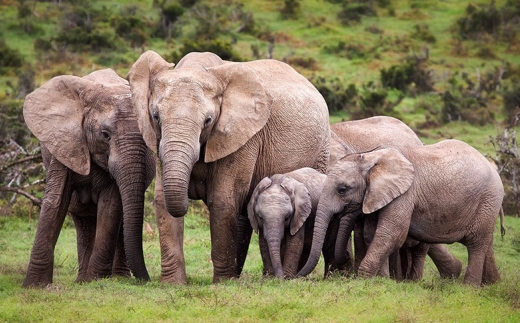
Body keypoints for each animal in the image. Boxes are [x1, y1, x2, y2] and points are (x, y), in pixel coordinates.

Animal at [22, 69, 155, 288]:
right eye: (105, 135)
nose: (148, 280)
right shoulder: (66, 144)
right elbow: (55, 202)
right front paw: (35, 286)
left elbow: (111, 207)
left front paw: (96, 280)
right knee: (83, 220)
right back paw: (81, 281)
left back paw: (112, 278)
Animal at [127, 50, 330, 284]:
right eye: (156, 116)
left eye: (208, 120)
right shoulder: (157, 140)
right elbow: (162, 200)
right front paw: (173, 284)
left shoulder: (242, 136)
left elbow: (222, 201)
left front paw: (222, 283)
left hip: (321, 150)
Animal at [298, 139, 506, 286]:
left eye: (342, 189)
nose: (296, 277)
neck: (372, 158)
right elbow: (372, 234)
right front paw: (380, 280)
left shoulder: (405, 194)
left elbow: (390, 234)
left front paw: (364, 278)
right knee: (485, 242)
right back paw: (491, 285)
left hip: (488, 199)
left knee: (476, 243)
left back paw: (469, 288)